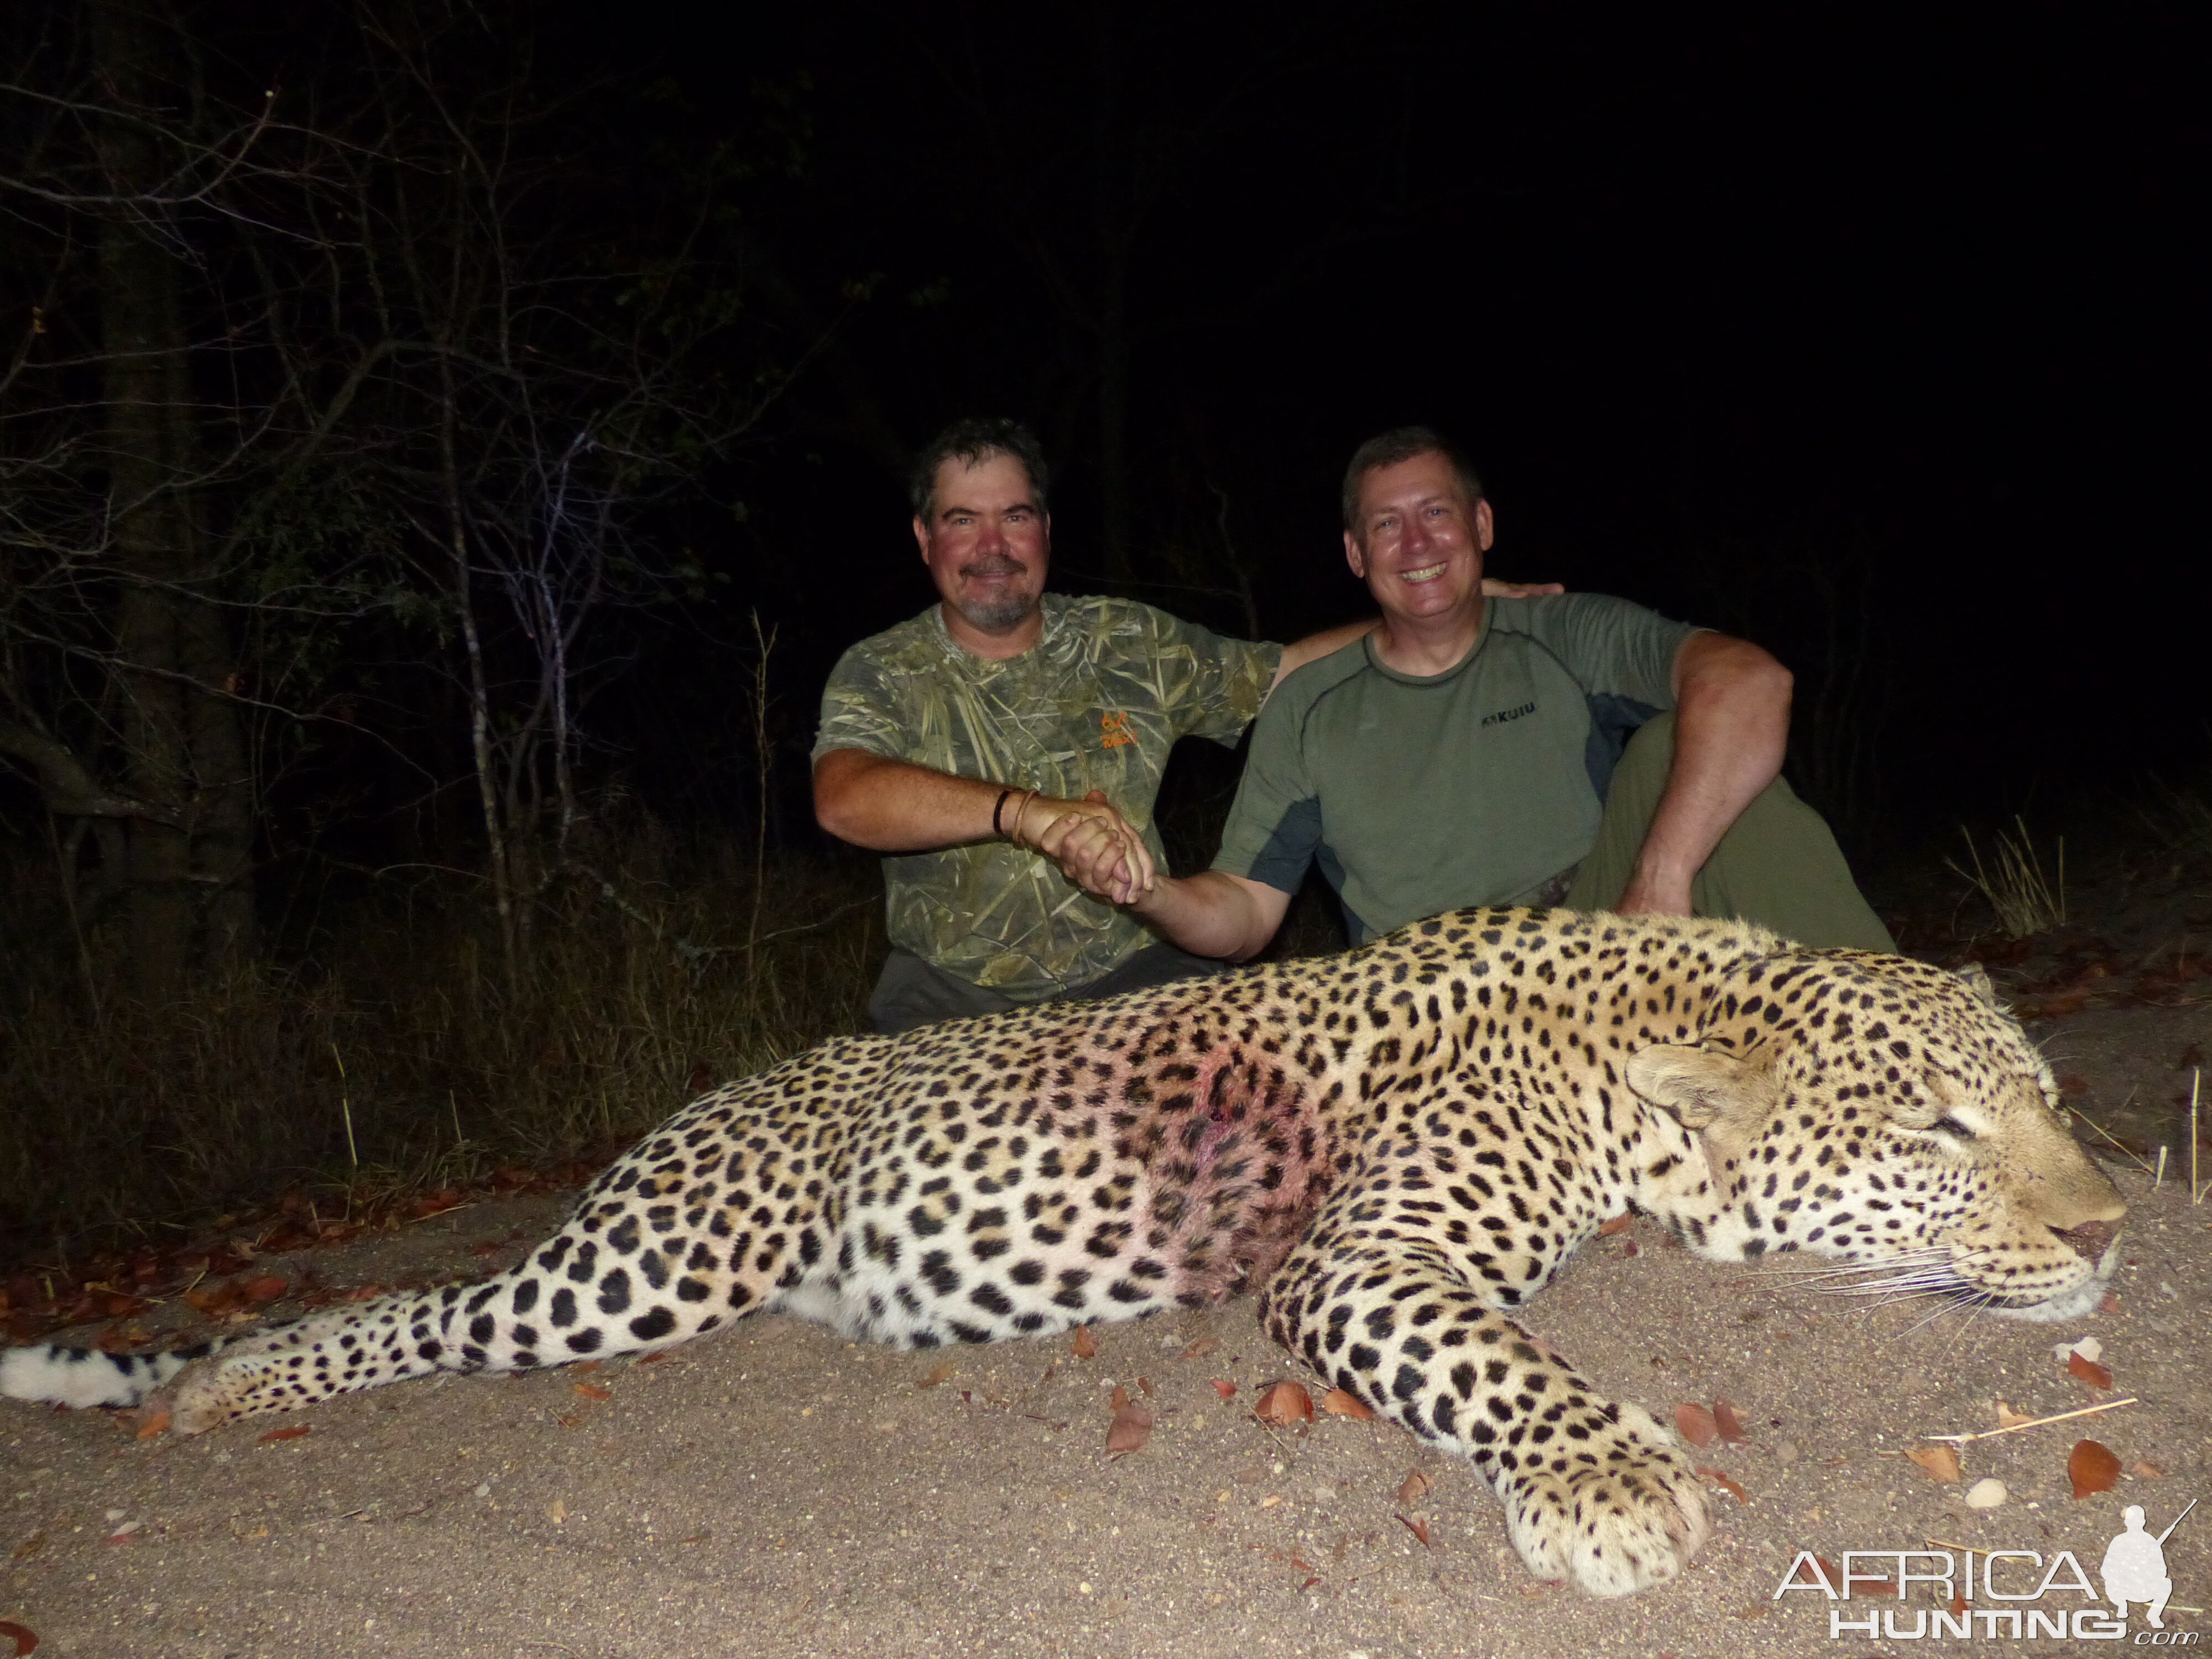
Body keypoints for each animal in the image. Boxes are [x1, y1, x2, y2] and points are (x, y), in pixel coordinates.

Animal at [0, 911, 2124, 1601]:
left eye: (2044, 1098)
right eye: (1938, 1132)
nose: (2114, 1226)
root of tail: (726, 1087)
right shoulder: (1363, 1260)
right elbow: (1501, 1361)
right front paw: (1604, 1488)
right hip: (664, 1251)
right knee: (417, 1309)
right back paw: (222, 1385)